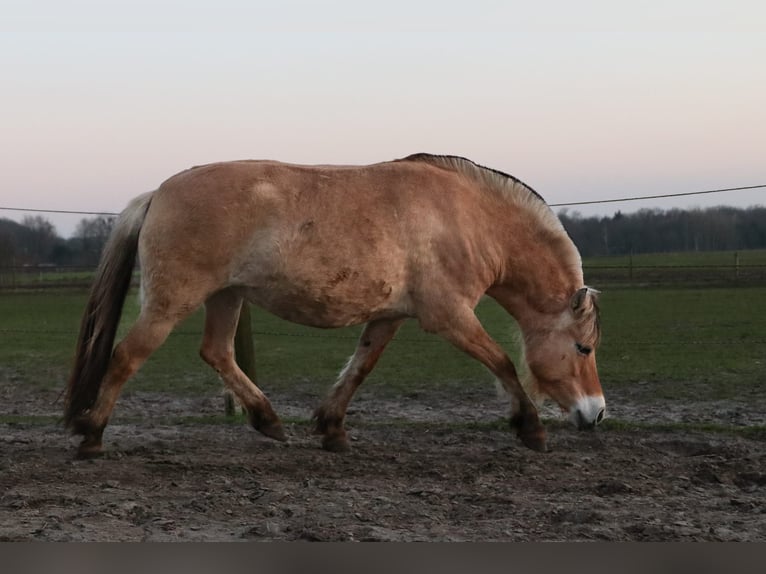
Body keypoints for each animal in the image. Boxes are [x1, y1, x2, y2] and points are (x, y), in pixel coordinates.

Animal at [64, 153, 604, 458]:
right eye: (582, 348)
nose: (596, 413)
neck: (465, 218)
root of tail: (158, 193)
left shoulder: (388, 317)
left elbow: (359, 368)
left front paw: (332, 430)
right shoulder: (449, 316)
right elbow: (503, 363)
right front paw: (531, 430)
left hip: (226, 297)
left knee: (216, 352)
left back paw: (269, 421)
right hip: (171, 303)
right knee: (126, 356)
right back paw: (91, 437)